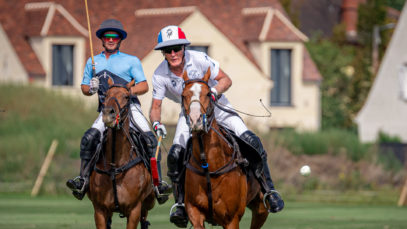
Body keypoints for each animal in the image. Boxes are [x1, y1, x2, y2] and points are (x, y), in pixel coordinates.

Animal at [87, 78, 155, 228]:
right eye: (106, 95)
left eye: (127, 96)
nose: (108, 114)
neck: (115, 165)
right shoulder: (99, 210)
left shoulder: (134, 209)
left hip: (148, 202)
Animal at [183, 69, 270, 228]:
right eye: (183, 95)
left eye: (207, 93)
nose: (195, 120)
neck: (209, 166)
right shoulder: (194, 212)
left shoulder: (231, 219)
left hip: (261, 208)